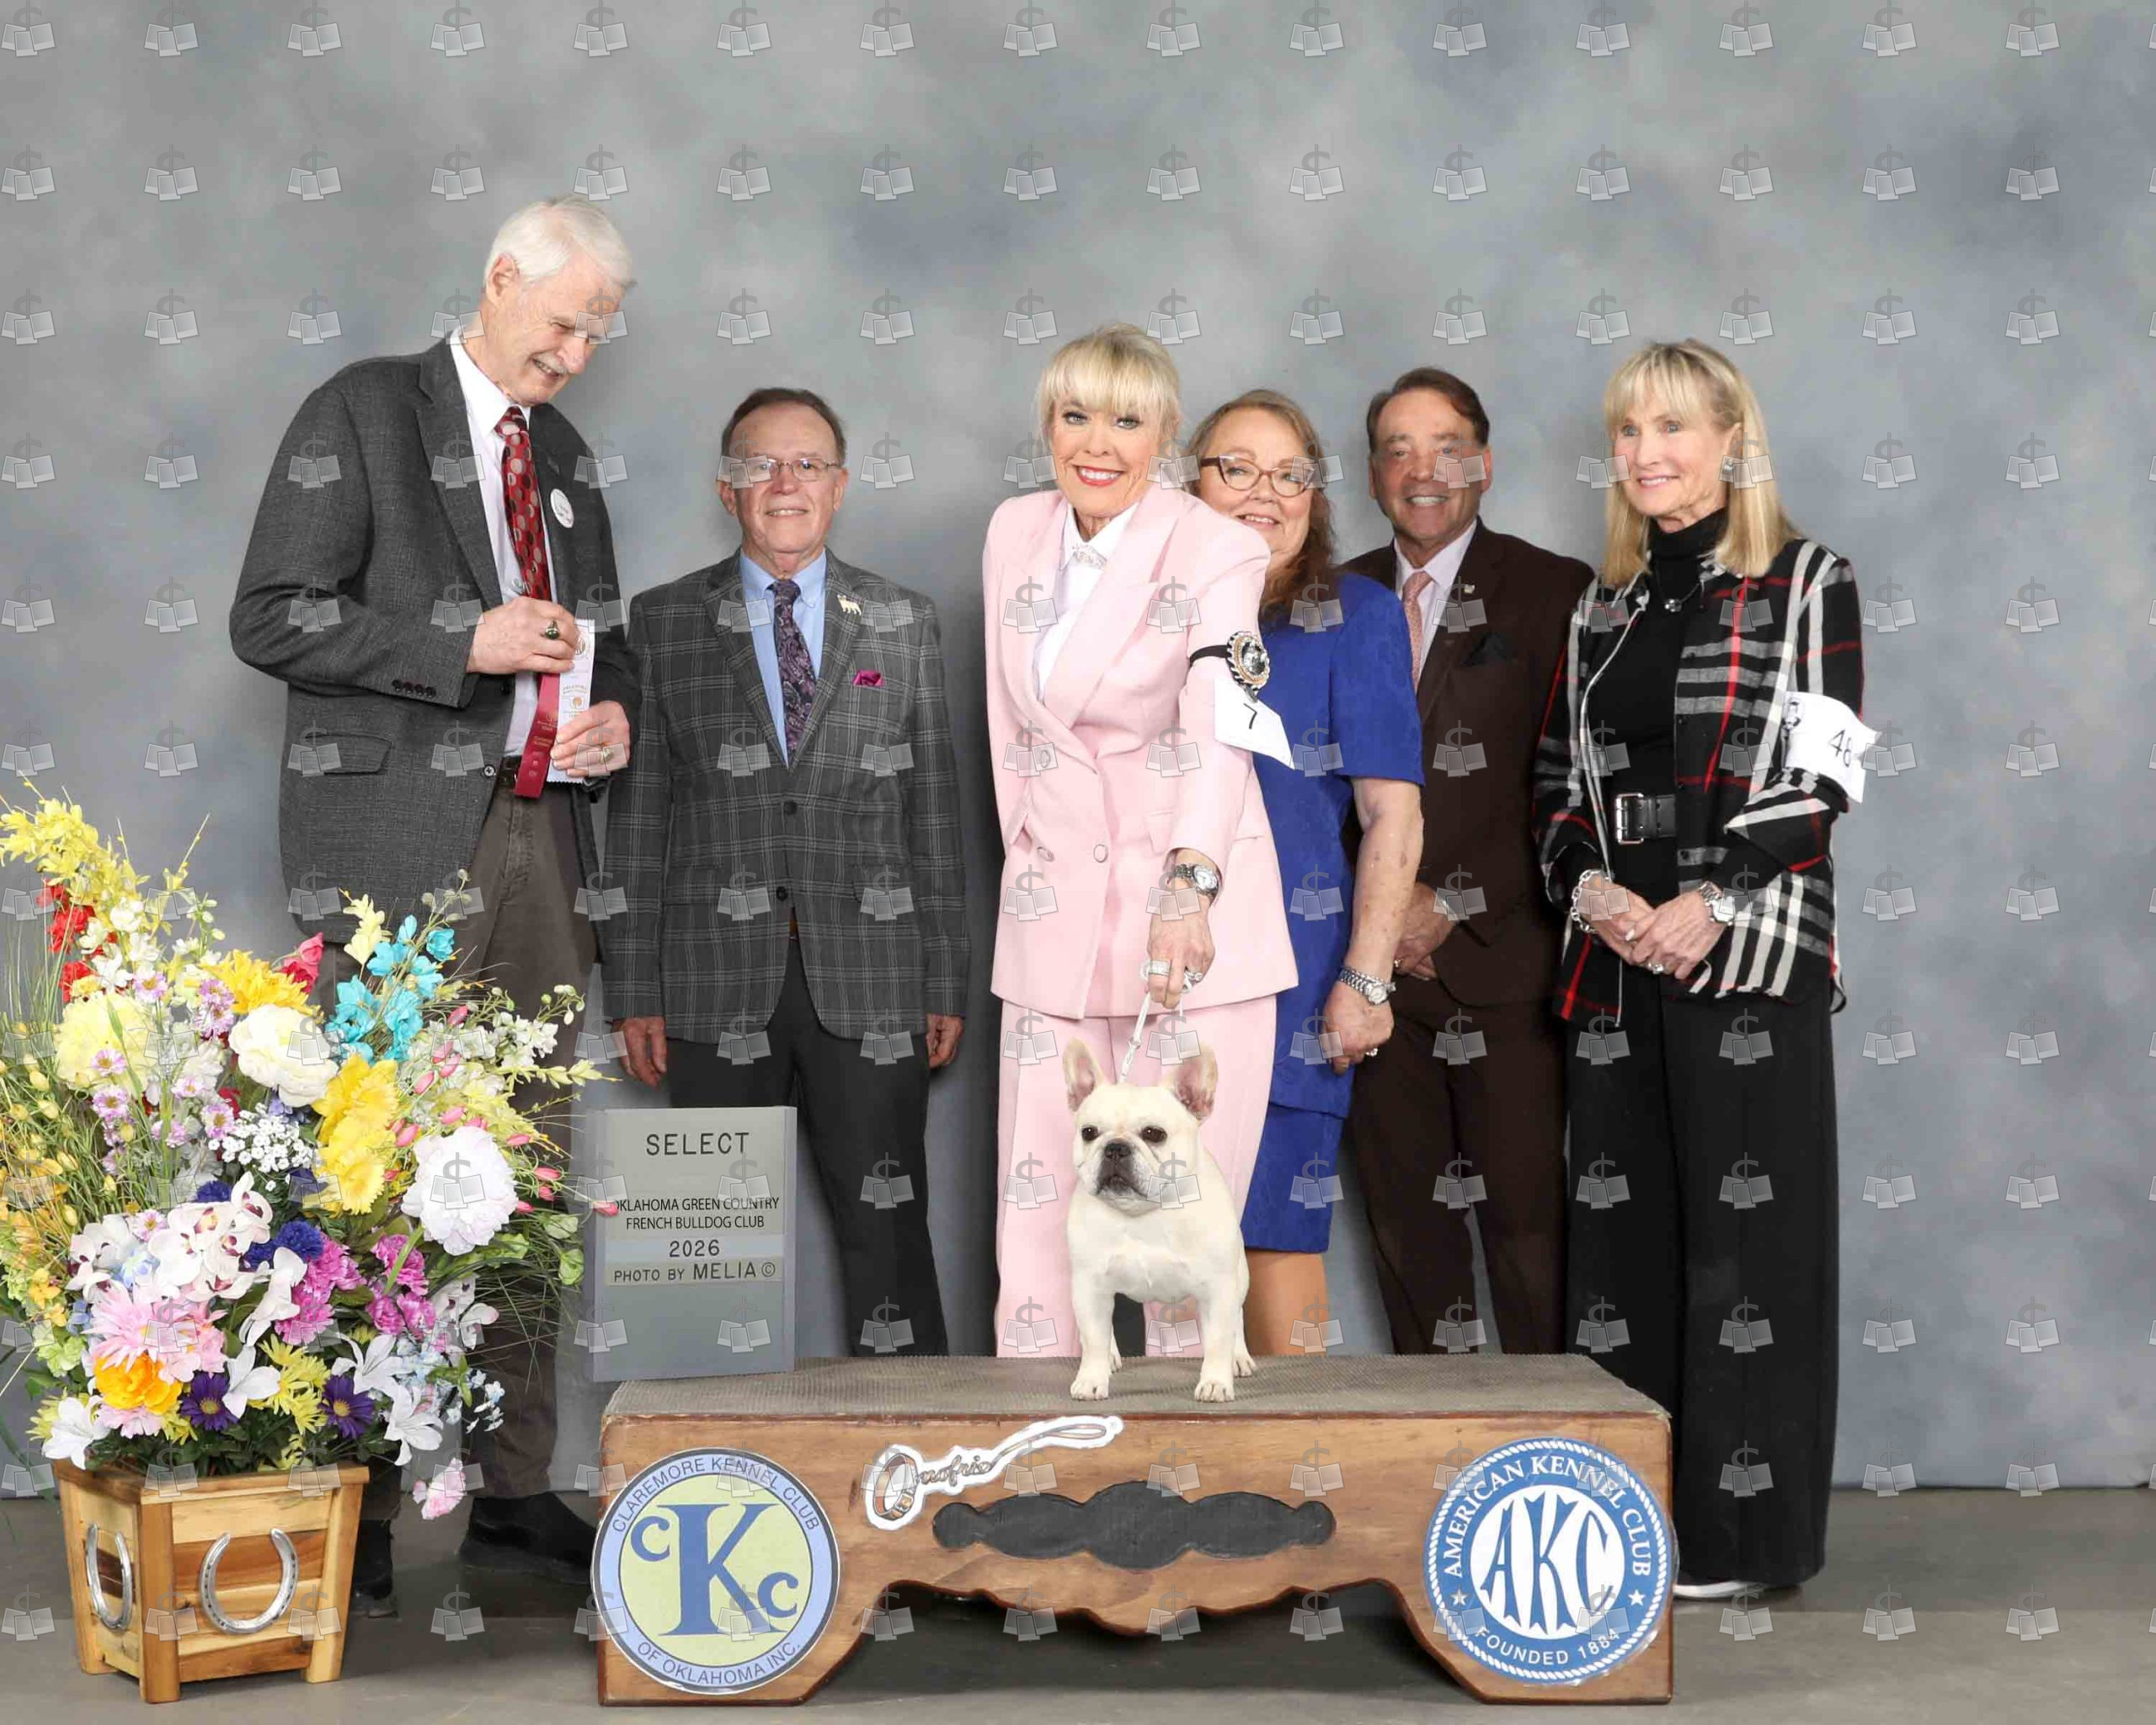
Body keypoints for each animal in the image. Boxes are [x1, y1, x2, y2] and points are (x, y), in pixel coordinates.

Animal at [1062, 1038, 1253, 1402]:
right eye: (1089, 1132)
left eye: (1154, 1133)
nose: (1115, 1147)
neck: (1144, 1212)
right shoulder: (1088, 1286)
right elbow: (1093, 1338)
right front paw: (1092, 1378)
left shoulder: (1218, 1288)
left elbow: (1219, 1340)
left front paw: (1215, 1382)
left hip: (1239, 1277)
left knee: (1237, 1318)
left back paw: (1239, 1358)